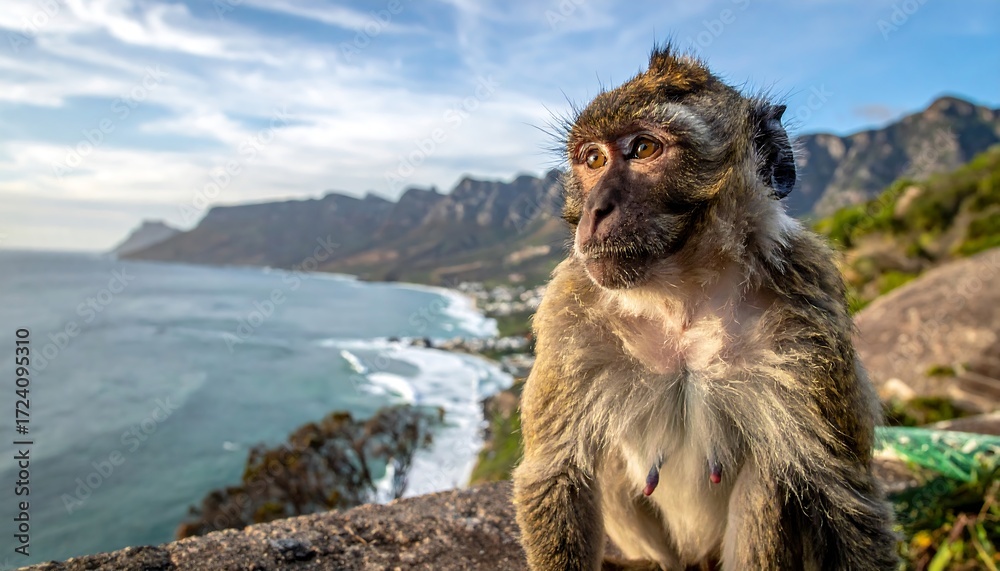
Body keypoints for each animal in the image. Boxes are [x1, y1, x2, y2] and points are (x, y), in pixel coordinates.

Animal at [512, 44, 899, 570]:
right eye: (592, 158)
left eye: (643, 150)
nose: (594, 211)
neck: (682, 300)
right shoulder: (568, 310)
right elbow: (556, 472)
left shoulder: (810, 308)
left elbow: (844, 496)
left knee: (775, 473)